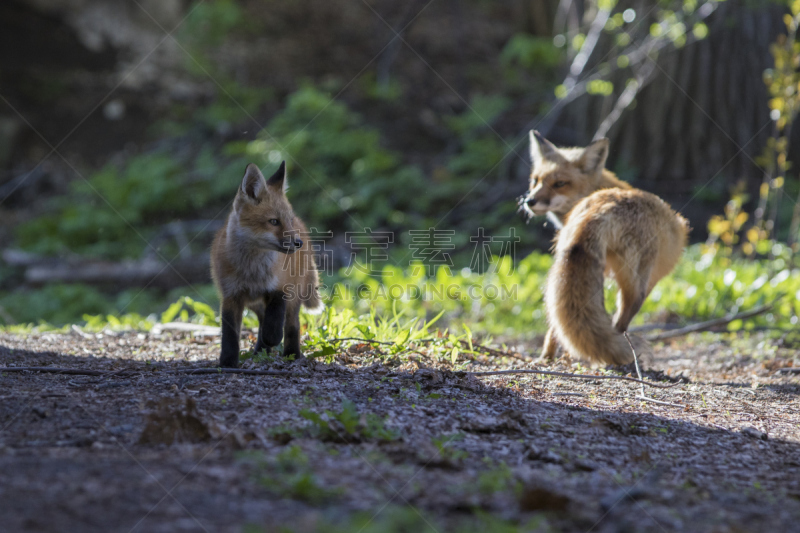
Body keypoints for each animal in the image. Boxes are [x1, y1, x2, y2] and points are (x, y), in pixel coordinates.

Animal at [212, 162, 324, 368]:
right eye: (274, 221)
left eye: (288, 220)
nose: (298, 243)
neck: (252, 269)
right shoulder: (231, 295)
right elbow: (229, 334)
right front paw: (228, 362)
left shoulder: (280, 288)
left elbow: (274, 321)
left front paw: (272, 338)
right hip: (255, 304)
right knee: (263, 320)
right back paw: (260, 352)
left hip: (293, 297)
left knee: (292, 324)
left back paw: (291, 354)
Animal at [520, 132, 692, 366]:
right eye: (535, 180)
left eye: (560, 183)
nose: (530, 201)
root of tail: (603, 209)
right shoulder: (650, 281)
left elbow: (555, 328)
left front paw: (551, 356)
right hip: (635, 281)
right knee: (622, 319)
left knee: (560, 320)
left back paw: (548, 358)